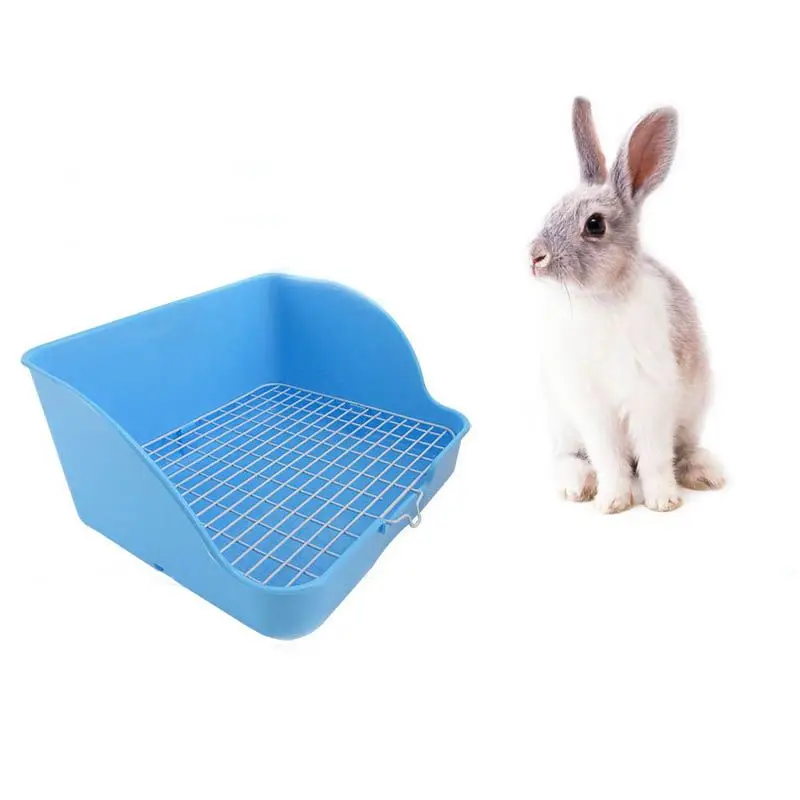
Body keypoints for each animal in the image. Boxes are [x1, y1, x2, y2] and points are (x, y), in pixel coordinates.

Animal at [529, 98, 724, 513]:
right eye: (552, 210)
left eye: (595, 224)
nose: (534, 257)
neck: (601, 299)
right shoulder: (592, 407)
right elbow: (608, 457)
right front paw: (612, 502)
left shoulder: (652, 398)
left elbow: (654, 456)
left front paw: (663, 501)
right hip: (563, 422)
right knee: (567, 456)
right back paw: (576, 486)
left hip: (692, 415)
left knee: (683, 449)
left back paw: (704, 473)